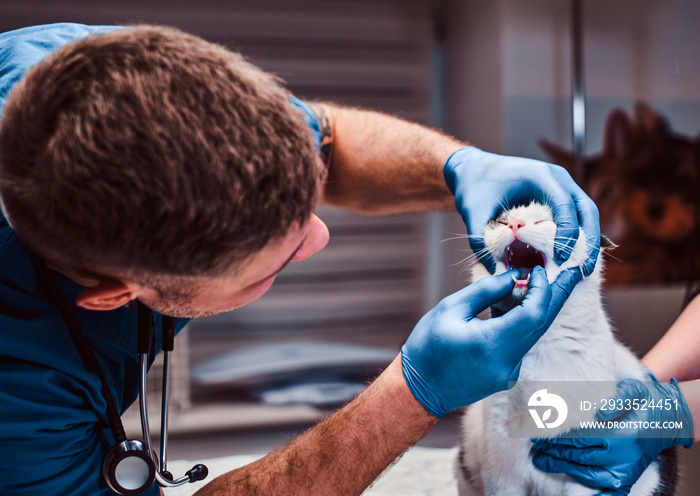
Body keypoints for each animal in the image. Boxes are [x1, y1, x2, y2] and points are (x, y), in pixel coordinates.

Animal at [456, 202, 676, 496]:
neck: (539, 346)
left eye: (544, 221)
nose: (515, 225)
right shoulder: (500, 471)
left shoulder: (583, 473)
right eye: (501, 222)